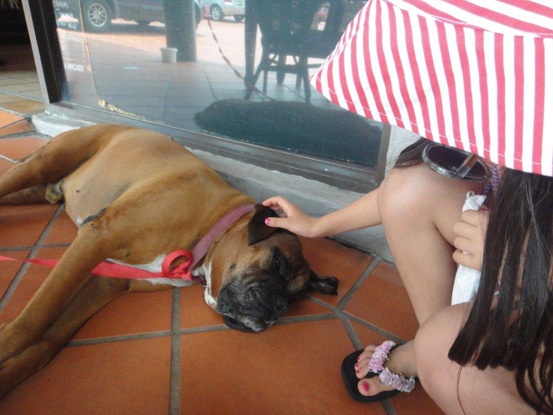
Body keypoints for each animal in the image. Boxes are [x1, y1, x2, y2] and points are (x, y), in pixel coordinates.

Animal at [0, 124, 338, 398]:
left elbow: (48, 341)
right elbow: (33, 320)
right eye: (277, 262)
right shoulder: (97, 238)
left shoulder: (106, 282)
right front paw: (6, 342)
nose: (279, 307)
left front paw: (9, 374)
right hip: (40, 166)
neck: (210, 228)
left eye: (295, 299)